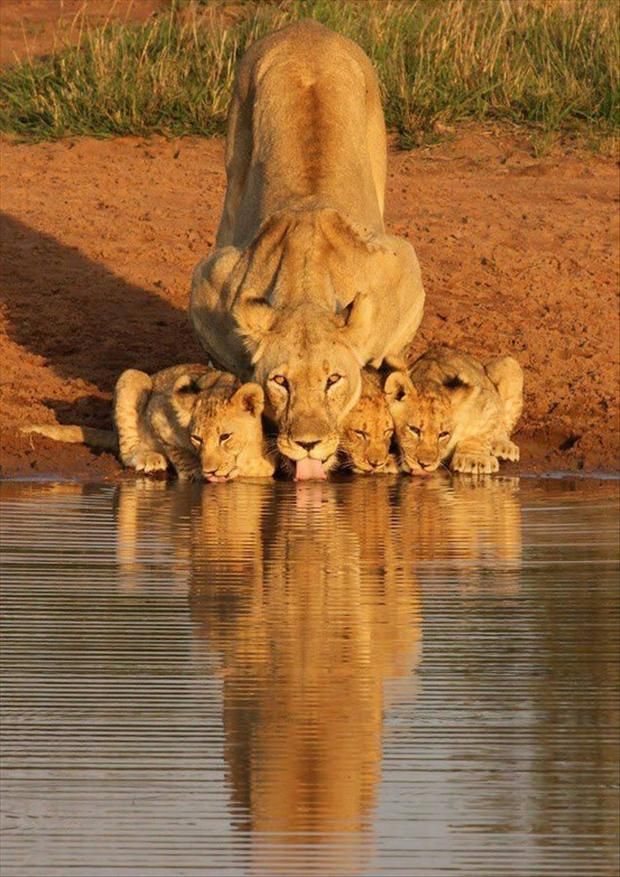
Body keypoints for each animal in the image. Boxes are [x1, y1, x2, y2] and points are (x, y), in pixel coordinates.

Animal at [23, 364, 275, 482]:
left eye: (225, 437)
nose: (209, 470)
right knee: (126, 451)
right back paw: (150, 458)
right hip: (132, 377)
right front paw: (194, 471)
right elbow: (177, 452)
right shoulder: (159, 414)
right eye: (196, 438)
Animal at [189, 21, 425, 480]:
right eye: (281, 382)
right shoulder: (211, 280)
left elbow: (395, 353)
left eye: (333, 380)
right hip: (233, 174)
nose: (309, 444)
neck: (305, 287)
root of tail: (305, 27)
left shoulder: (403, 268)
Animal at [384, 346, 523, 475]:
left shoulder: (486, 401)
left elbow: (481, 433)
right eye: (414, 429)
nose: (424, 464)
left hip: (509, 364)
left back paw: (503, 447)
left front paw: (474, 459)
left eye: (443, 434)